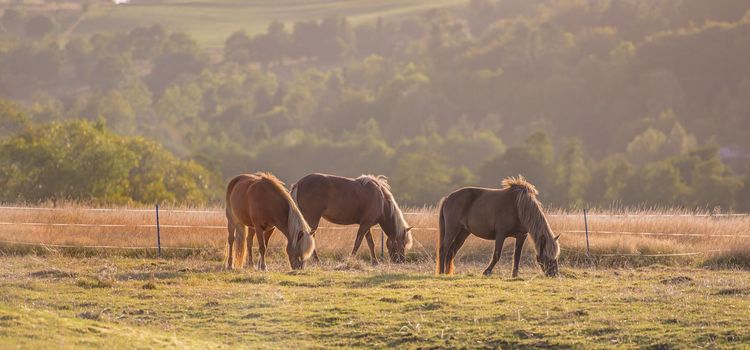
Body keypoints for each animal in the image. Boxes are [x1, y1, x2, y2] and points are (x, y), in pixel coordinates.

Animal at [290, 174, 418, 264]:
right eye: (403, 244)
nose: (401, 261)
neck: (381, 199)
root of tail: (299, 183)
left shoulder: (367, 225)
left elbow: (370, 243)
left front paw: (375, 261)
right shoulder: (365, 224)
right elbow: (358, 242)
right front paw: (351, 259)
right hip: (312, 218)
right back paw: (316, 260)